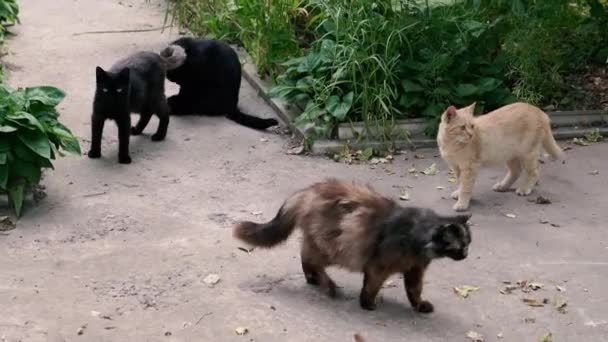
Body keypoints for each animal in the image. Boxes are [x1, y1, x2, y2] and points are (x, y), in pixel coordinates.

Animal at [230, 179, 472, 312]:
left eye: (468, 243)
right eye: (458, 247)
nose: (466, 255)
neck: (418, 237)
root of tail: (308, 190)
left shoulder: (415, 270)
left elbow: (414, 291)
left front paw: (418, 306)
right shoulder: (378, 266)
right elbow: (371, 287)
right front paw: (366, 303)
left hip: (322, 243)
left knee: (305, 257)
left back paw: (313, 279)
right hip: (333, 247)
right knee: (311, 260)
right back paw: (327, 285)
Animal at [436, 101, 564, 211]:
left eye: (472, 126)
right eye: (462, 127)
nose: (471, 135)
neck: (452, 144)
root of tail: (538, 111)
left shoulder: (469, 168)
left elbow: (465, 187)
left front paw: (462, 203)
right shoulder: (456, 167)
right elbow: (460, 182)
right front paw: (459, 193)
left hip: (527, 154)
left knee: (534, 172)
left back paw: (525, 189)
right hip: (510, 155)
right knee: (516, 171)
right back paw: (503, 186)